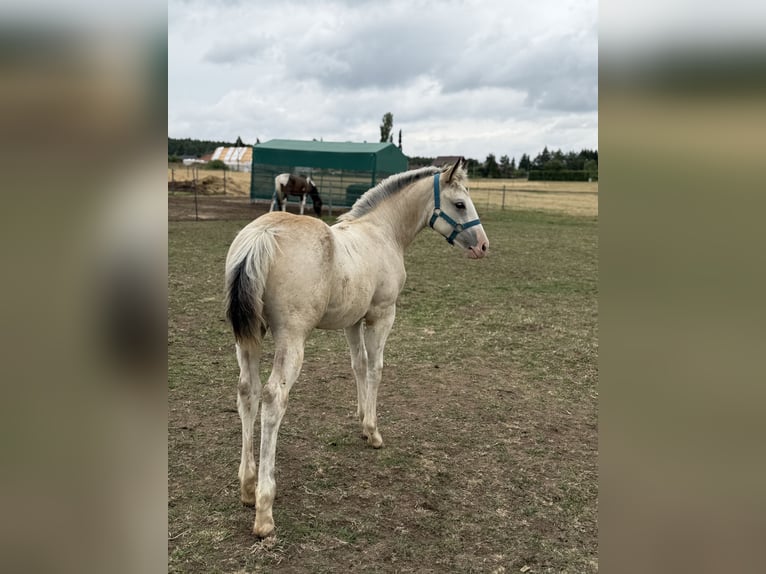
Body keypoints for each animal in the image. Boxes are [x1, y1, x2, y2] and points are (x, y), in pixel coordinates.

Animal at [224, 158, 489, 538]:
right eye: (460, 204)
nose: (483, 246)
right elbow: (376, 368)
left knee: (248, 391)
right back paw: (264, 510)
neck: (382, 231)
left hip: (249, 337)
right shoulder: (382, 314)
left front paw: (362, 421)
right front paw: (374, 431)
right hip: (291, 338)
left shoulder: (353, 320)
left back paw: (247, 487)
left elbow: (358, 365)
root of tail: (262, 235)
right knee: (273, 398)